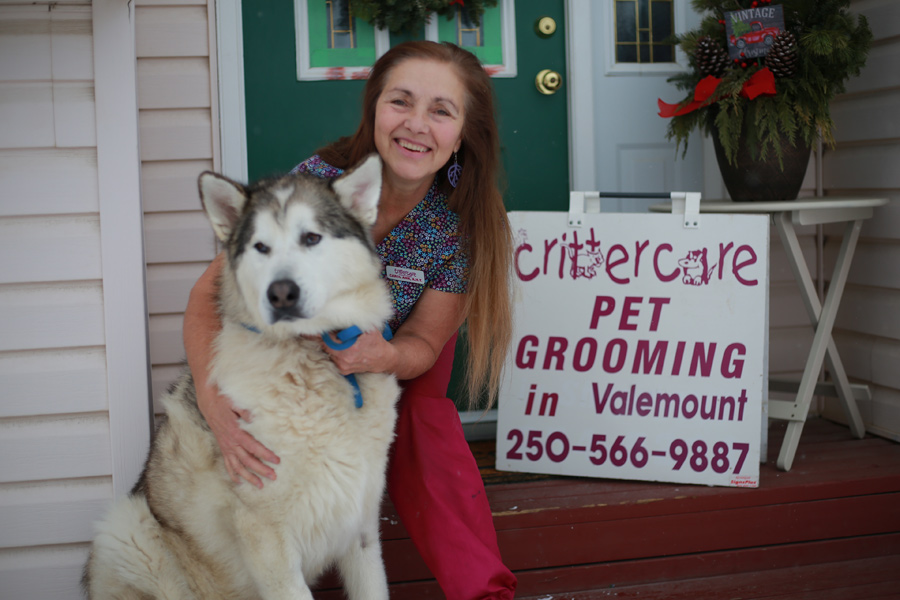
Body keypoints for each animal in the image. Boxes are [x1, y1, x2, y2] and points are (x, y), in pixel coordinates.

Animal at [84, 156, 400, 600]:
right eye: (260, 247)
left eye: (312, 238)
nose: (281, 293)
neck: (310, 359)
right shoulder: (268, 541)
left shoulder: (362, 525)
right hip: (128, 528)